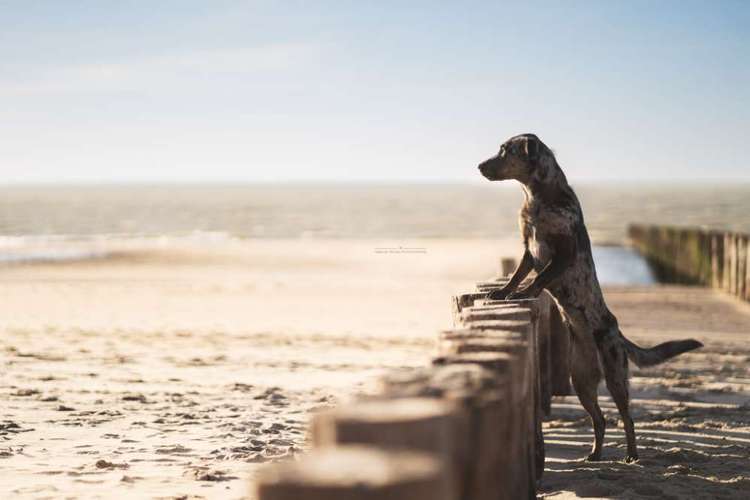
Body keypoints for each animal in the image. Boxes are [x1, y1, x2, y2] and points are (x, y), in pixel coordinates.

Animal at [478, 133, 704, 460]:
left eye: (506, 151)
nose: (480, 166)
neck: (537, 199)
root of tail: (617, 332)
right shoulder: (528, 250)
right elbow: (517, 274)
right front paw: (503, 292)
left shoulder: (563, 253)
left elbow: (538, 279)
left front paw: (523, 293)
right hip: (582, 381)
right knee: (600, 419)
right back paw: (595, 454)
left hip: (615, 375)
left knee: (626, 418)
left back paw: (631, 455)